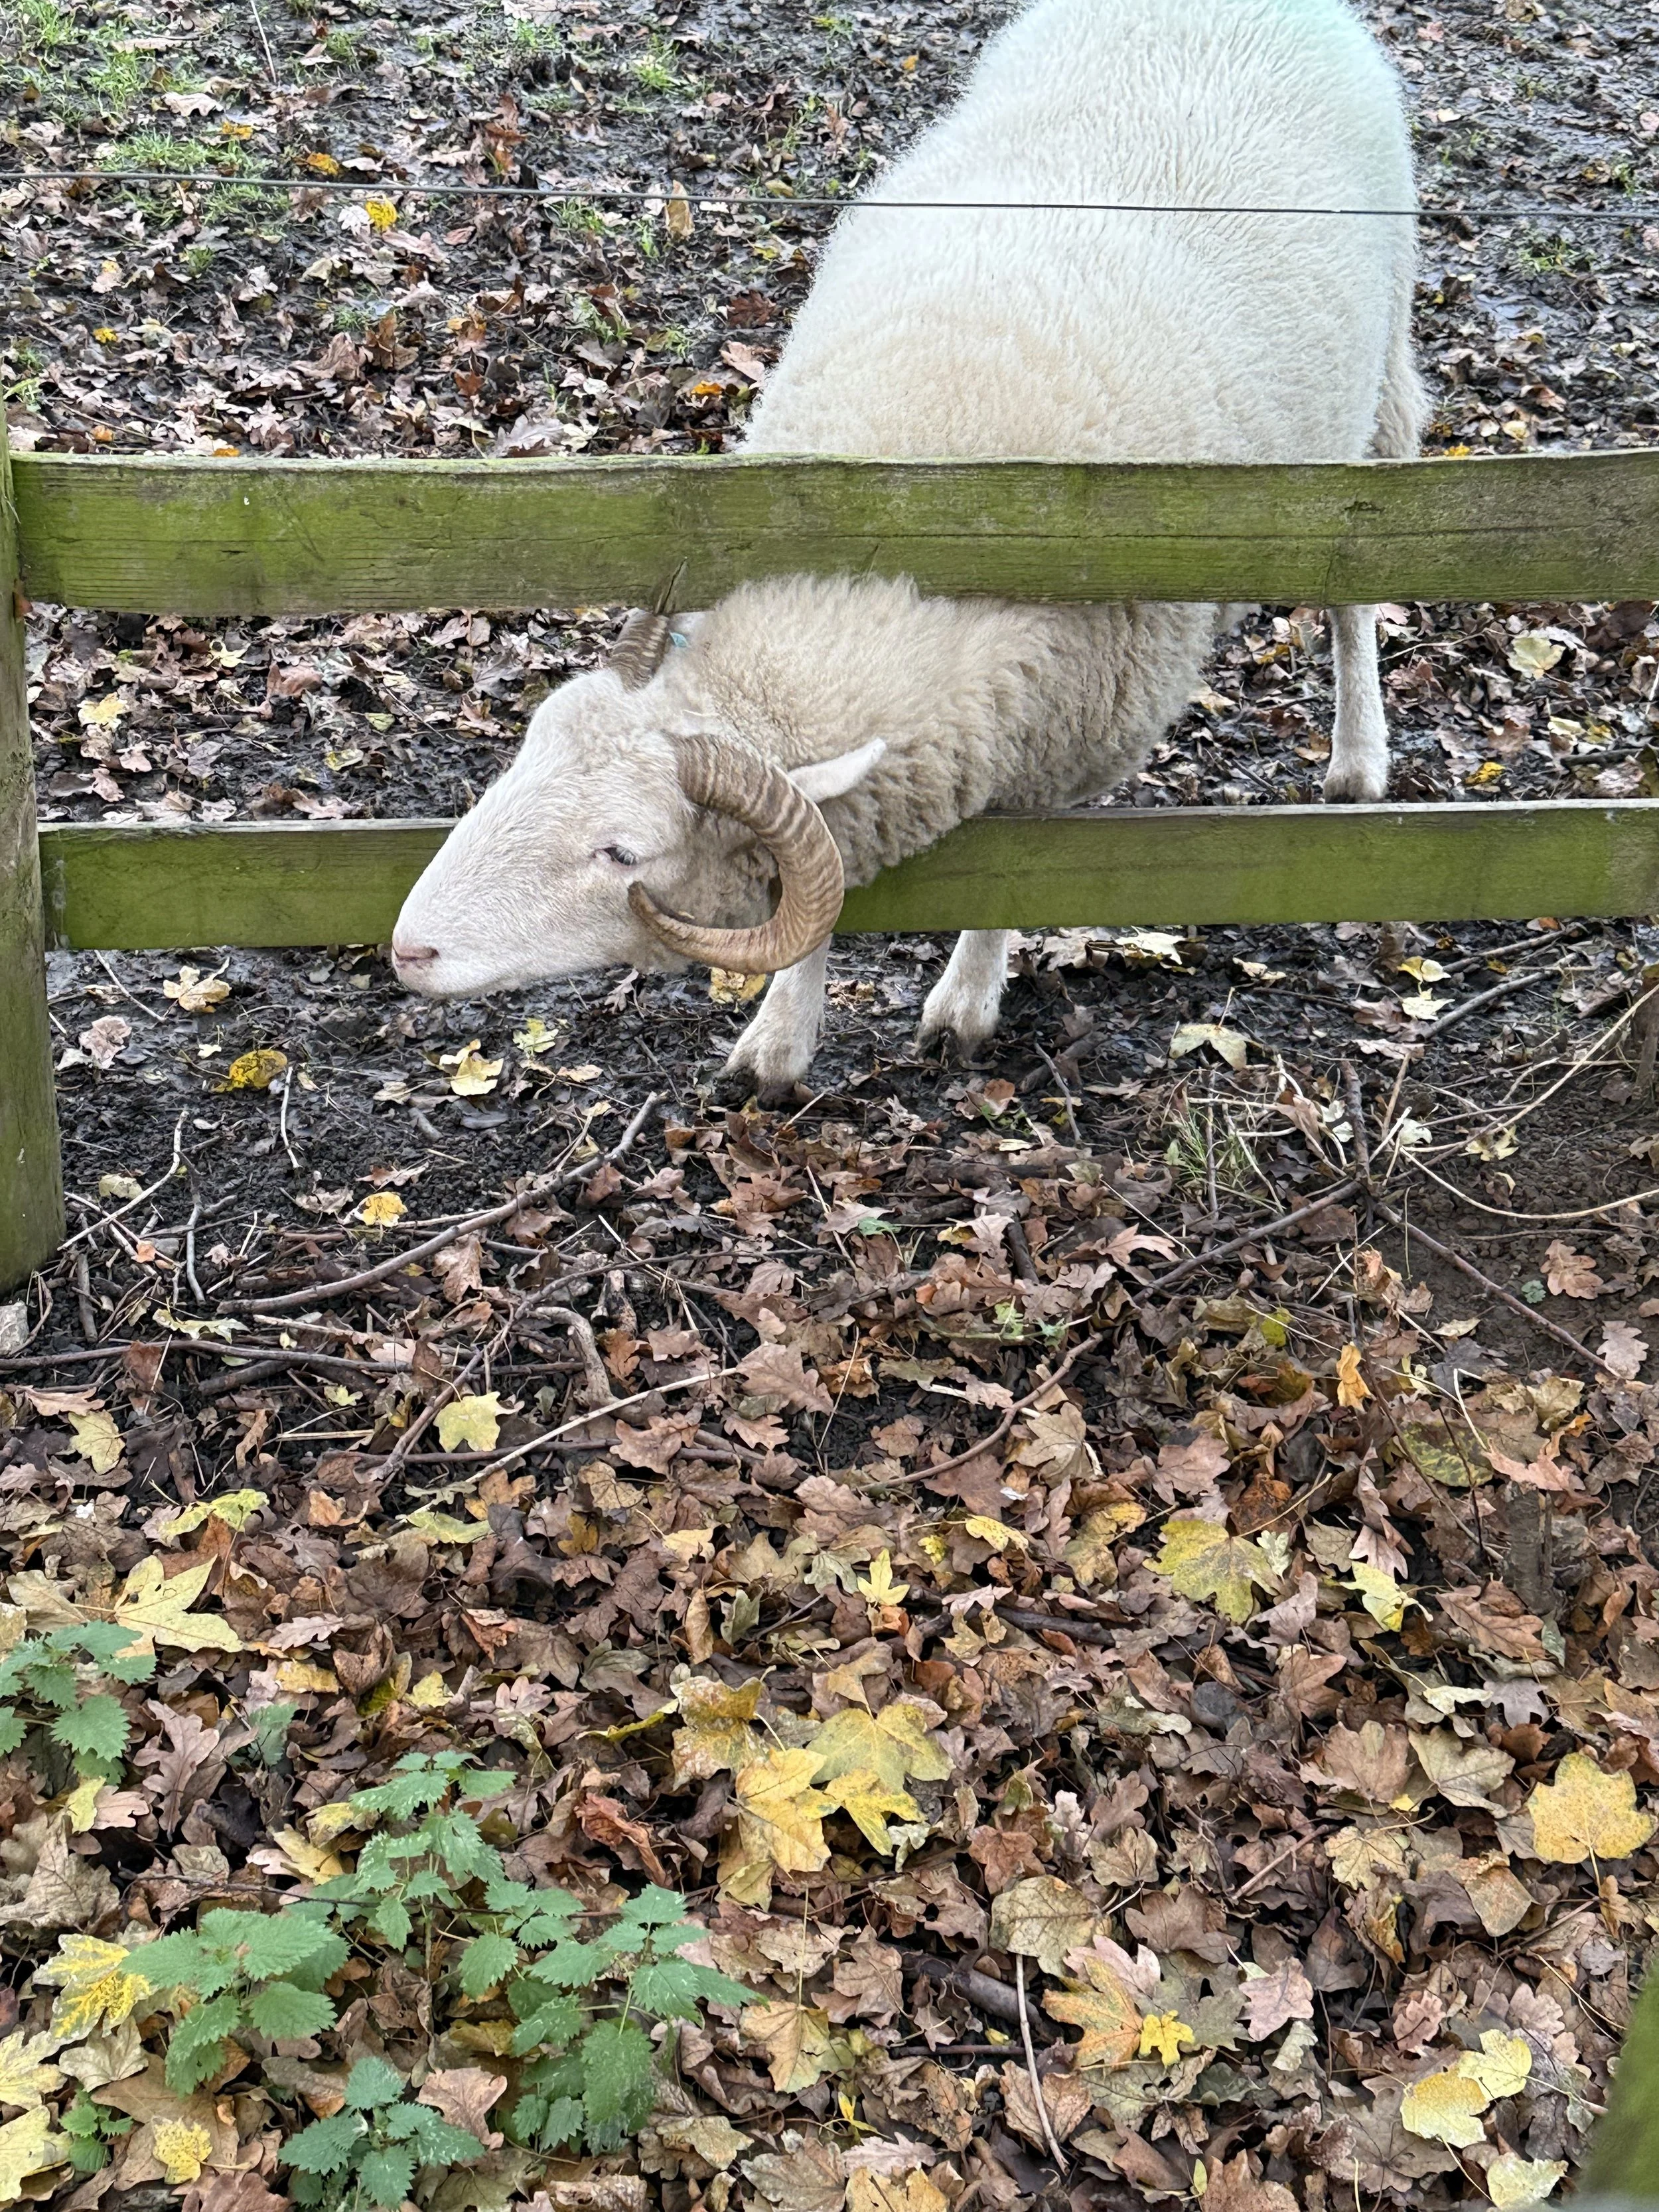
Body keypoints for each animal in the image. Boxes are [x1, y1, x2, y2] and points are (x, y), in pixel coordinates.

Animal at [393, 0, 1424, 1091]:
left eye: (622, 854)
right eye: (526, 752)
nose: (409, 946)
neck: (916, 544)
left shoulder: (1049, 767)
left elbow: (1005, 888)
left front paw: (964, 1007)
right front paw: (779, 1041)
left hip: (1379, 396)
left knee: (1359, 582)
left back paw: (1359, 759)